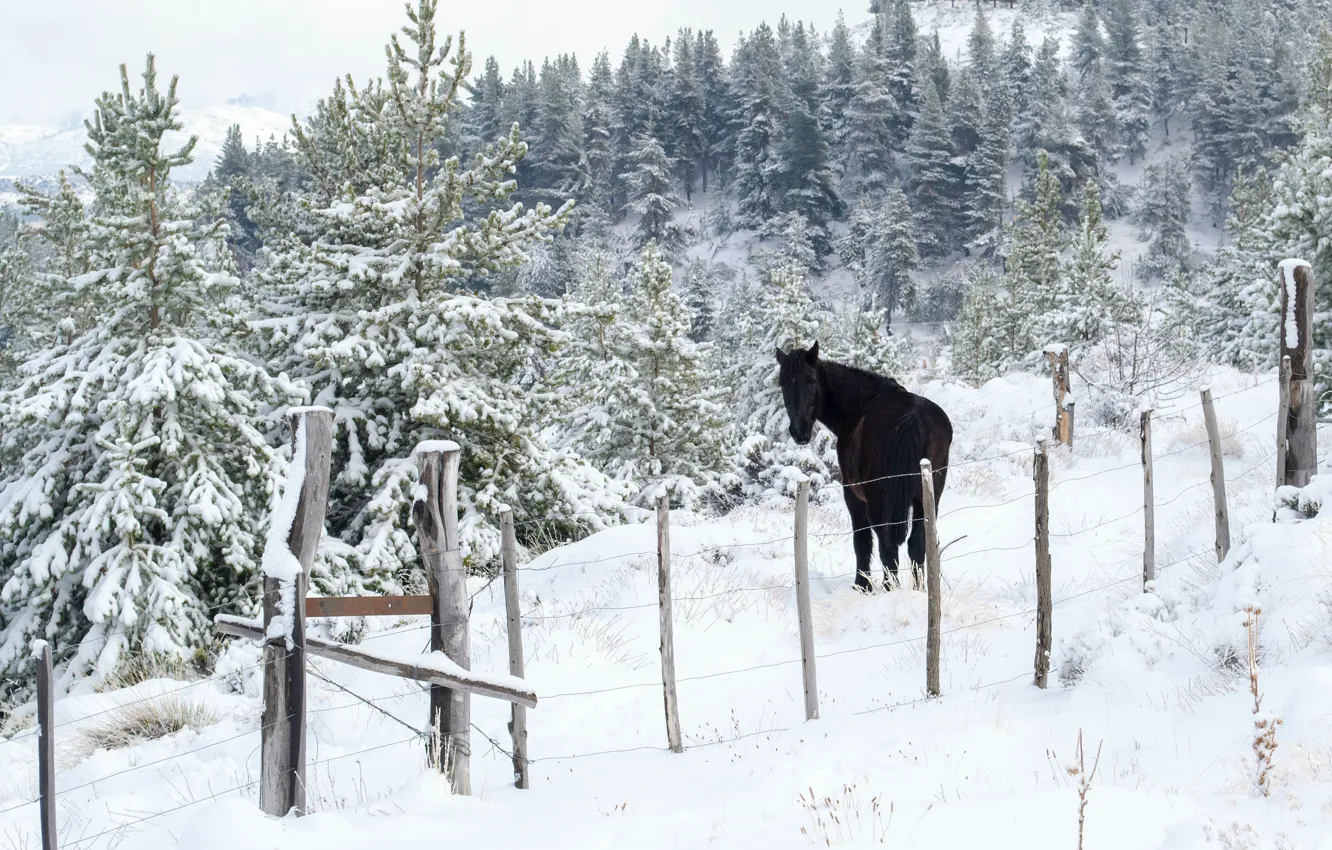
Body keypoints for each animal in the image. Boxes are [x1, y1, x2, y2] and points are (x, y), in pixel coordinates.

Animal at [776, 342, 953, 592]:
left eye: (811, 380)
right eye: (782, 383)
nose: (799, 431)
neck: (859, 405)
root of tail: (912, 419)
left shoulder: (853, 496)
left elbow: (862, 541)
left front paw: (862, 585)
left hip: (880, 501)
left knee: (887, 544)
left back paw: (889, 588)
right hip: (928, 497)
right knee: (917, 542)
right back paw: (919, 591)